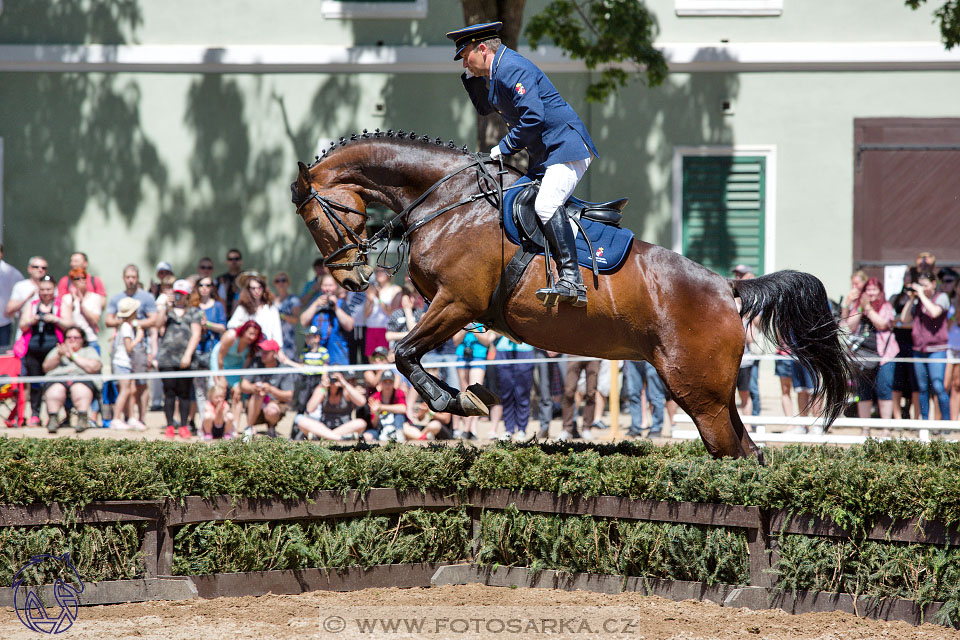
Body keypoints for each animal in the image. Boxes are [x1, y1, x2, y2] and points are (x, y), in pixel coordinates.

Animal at [288, 131, 852, 460]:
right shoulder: (451, 310)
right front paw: (470, 394)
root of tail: (726, 287)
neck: (447, 201)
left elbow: (402, 352)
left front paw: (457, 400)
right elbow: (412, 355)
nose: (350, 280)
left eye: (314, 217)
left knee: (730, 450)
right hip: (713, 393)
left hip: (698, 393)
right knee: (748, 451)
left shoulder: (455, 302)